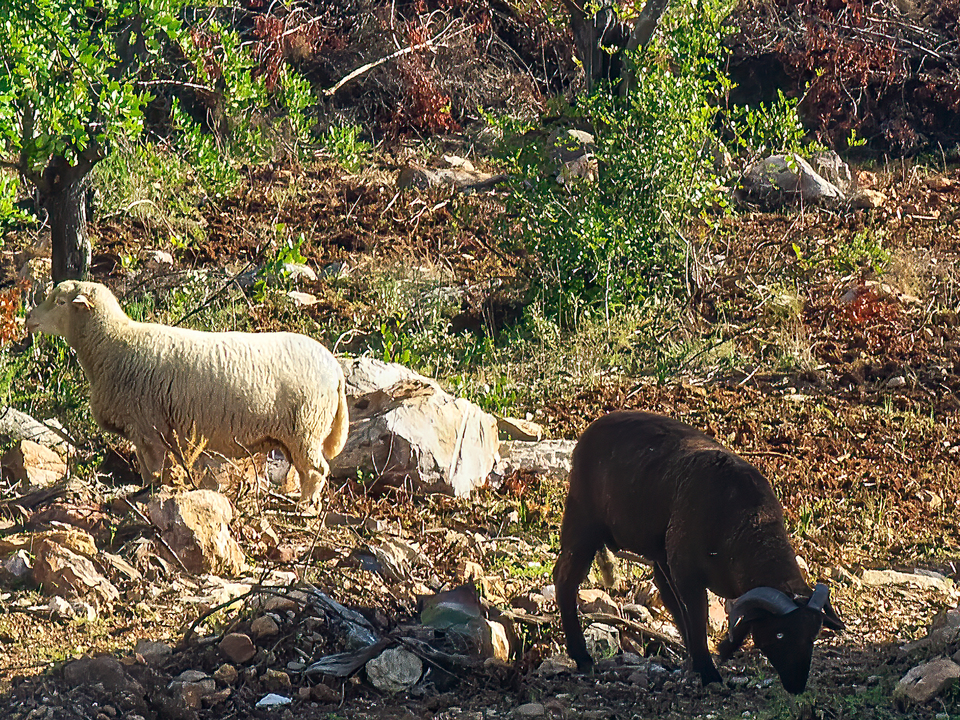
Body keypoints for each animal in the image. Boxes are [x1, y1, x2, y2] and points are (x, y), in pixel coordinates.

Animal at [25, 280, 348, 505]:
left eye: (60, 301)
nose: (29, 319)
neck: (114, 343)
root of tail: (335, 368)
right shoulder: (145, 430)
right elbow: (149, 470)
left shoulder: (147, 426)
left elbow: (154, 469)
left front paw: (151, 494)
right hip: (295, 433)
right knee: (308, 470)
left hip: (306, 426)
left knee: (316, 470)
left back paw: (305, 507)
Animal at [553, 410, 844, 694]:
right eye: (781, 634)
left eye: (812, 635)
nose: (797, 686)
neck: (747, 522)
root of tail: (595, 425)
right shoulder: (687, 573)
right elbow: (696, 617)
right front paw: (709, 673)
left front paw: (711, 658)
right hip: (583, 521)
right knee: (564, 579)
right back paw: (582, 658)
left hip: (657, 552)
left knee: (665, 593)